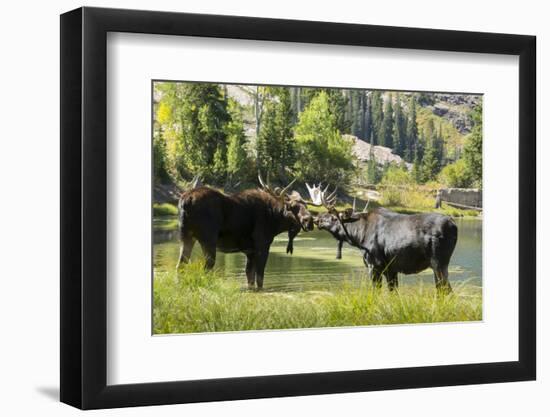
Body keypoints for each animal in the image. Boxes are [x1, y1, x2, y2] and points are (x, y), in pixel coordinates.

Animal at [177, 174, 330, 288]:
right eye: (292, 206)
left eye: (306, 206)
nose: (309, 221)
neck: (275, 219)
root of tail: (186, 200)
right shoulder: (262, 245)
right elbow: (260, 278)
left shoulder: (249, 251)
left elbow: (250, 278)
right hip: (208, 239)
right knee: (206, 267)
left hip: (186, 237)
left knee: (180, 265)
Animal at [310, 184, 462, 290]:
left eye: (333, 218)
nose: (317, 219)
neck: (359, 236)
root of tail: (454, 226)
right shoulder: (391, 269)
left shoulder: (374, 265)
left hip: (438, 263)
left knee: (445, 290)